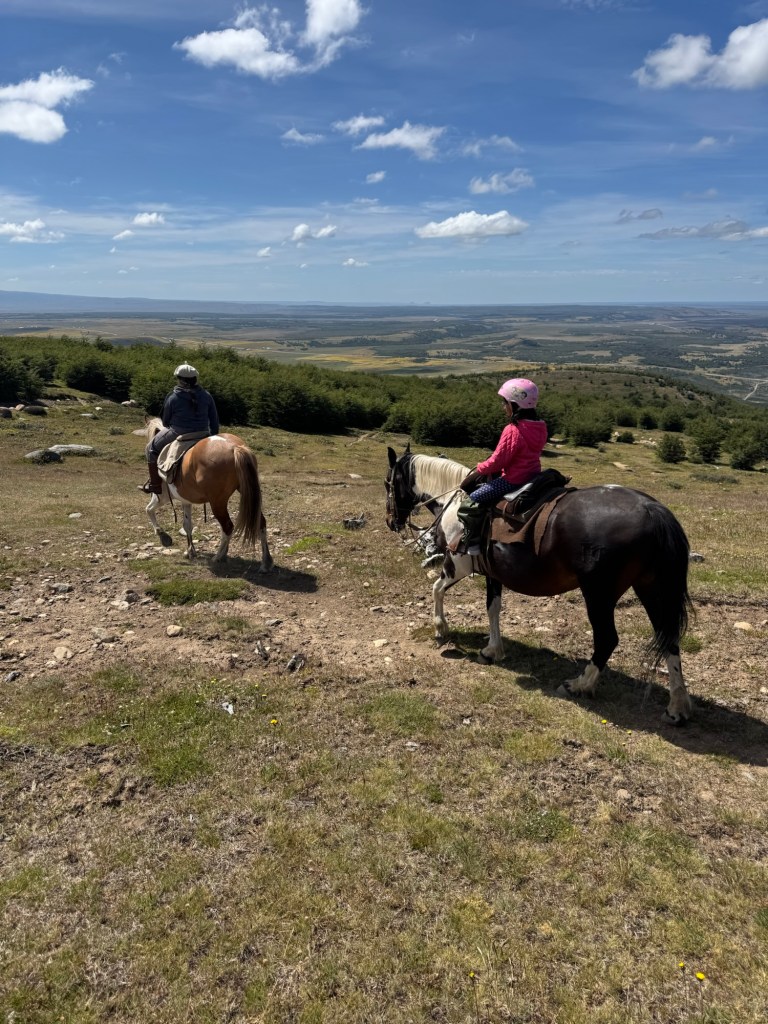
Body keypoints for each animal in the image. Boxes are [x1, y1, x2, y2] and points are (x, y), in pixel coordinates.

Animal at [142, 417, 273, 570]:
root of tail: (235, 447)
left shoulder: (161, 497)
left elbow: (149, 510)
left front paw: (163, 535)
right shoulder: (185, 500)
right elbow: (187, 525)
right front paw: (190, 551)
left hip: (217, 502)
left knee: (228, 527)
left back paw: (218, 557)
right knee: (260, 523)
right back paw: (265, 562)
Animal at [386, 445, 694, 724]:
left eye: (388, 483)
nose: (391, 522)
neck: (455, 502)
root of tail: (652, 510)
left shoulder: (457, 564)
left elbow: (436, 589)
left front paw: (441, 629)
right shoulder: (493, 573)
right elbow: (493, 607)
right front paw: (492, 650)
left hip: (599, 594)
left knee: (607, 639)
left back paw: (579, 685)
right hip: (652, 589)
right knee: (668, 637)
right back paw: (677, 707)